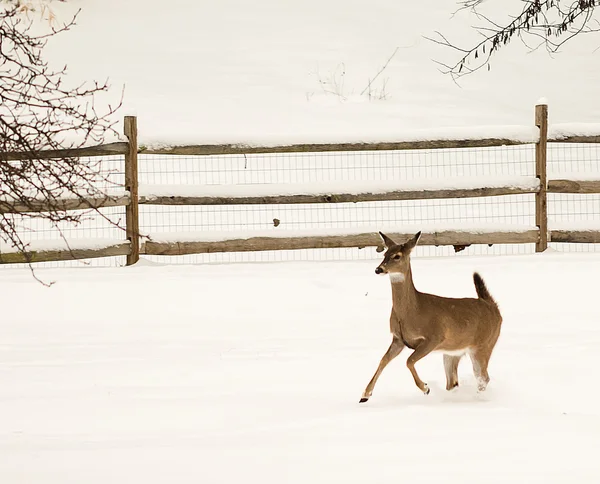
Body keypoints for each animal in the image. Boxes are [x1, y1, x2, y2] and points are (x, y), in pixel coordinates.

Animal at [358, 233, 504, 402]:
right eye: (385, 254)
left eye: (397, 256)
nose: (378, 269)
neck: (412, 312)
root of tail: (493, 306)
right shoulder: (398, 339)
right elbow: (383, 360)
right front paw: (365, 395)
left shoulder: (434, 337)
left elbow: (409, 361)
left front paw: (425, 388)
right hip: (452, 352)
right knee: (454, 382)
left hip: (483, 345)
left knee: (483, 377)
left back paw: (477, 398)